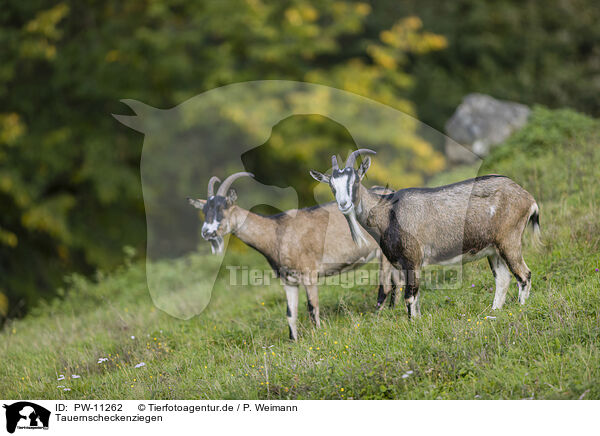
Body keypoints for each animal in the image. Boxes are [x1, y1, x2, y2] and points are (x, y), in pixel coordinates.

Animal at [190, 172, 400, 338]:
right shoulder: (288, 281)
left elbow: (312, 306)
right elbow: (290, 314)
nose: (206, 232)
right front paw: (294, 342)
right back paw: (393, 310)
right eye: (204, 211)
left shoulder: (309, 273)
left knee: (385, 286)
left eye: (223, 208)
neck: (277, 232)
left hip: (383, 252)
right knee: (397, 282)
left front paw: (318, 335)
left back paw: (377, 316)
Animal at [312, 150, 540, 316]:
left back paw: (520, 308)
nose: (344, 204)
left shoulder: (411, 259)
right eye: (332, 185)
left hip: (509, 239)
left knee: (524, 275)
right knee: (503, 278)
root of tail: (527, 197)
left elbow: (410, 298)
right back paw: (494, 312)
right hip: (493, 249)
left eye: (355, 181)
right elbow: (416, 299)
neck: (388, 213)